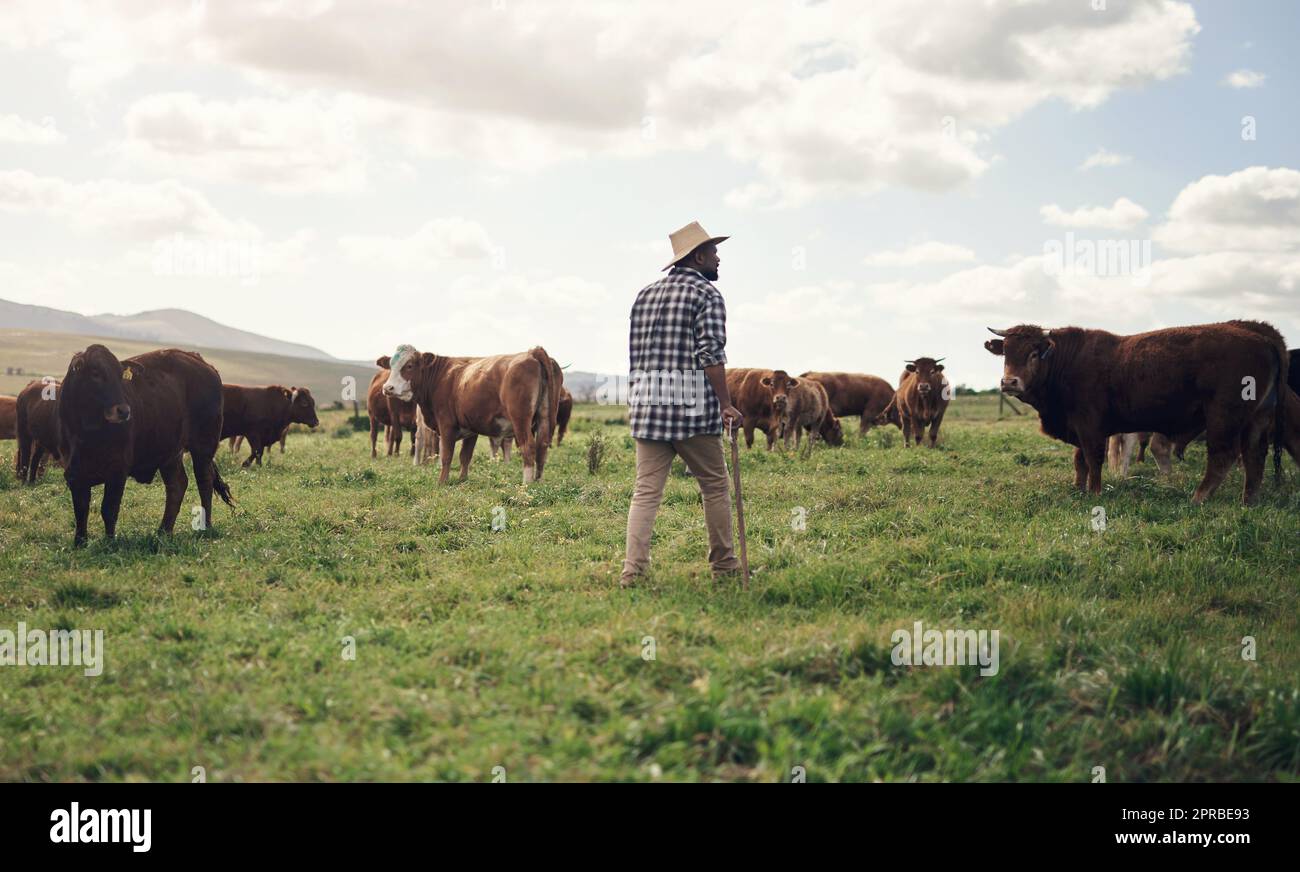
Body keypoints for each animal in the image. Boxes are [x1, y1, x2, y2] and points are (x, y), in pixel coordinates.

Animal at [59, 345, 233, 545]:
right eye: (96, 373)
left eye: (120, 375)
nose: (123, 411)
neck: (87, 431)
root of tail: (203, 363)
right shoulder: (74, 474)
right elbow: (81, 510)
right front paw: (80, 542)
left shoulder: (118, 471)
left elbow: (109, 510)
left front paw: (110, 542)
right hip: (170, 453)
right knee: (177, 485)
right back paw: (164, 531)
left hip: (203, 447)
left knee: (204, 482)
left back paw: (206, 526)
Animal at [379, 345, 553, 483]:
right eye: (390, 366)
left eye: (409, 365)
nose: (388, 388)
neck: (440, 377)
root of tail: (532, 353)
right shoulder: (471, 429)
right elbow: (465, 456)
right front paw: (462, 479)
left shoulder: (446, 425)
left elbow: (447, 456)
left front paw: (442, 482)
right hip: (544, 417)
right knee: (542, 446)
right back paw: (538, 481)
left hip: (520, 420)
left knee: (528, 446)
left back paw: (526, 484)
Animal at [982, 320, 1289, 501]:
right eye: (1006, 352)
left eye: (1034, 353)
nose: (1009, 382)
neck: (1067, 361)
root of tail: (1261, 337)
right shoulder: (1078, 427)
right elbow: (1079, 460)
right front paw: (1078, 488)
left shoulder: (1091, 427)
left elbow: (1094, 459)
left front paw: (1094, 492)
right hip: (1257, 419)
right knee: (1254, 457)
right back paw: (1248, 501)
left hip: (1223, 418)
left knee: (1223, 457)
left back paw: (1198, 498)